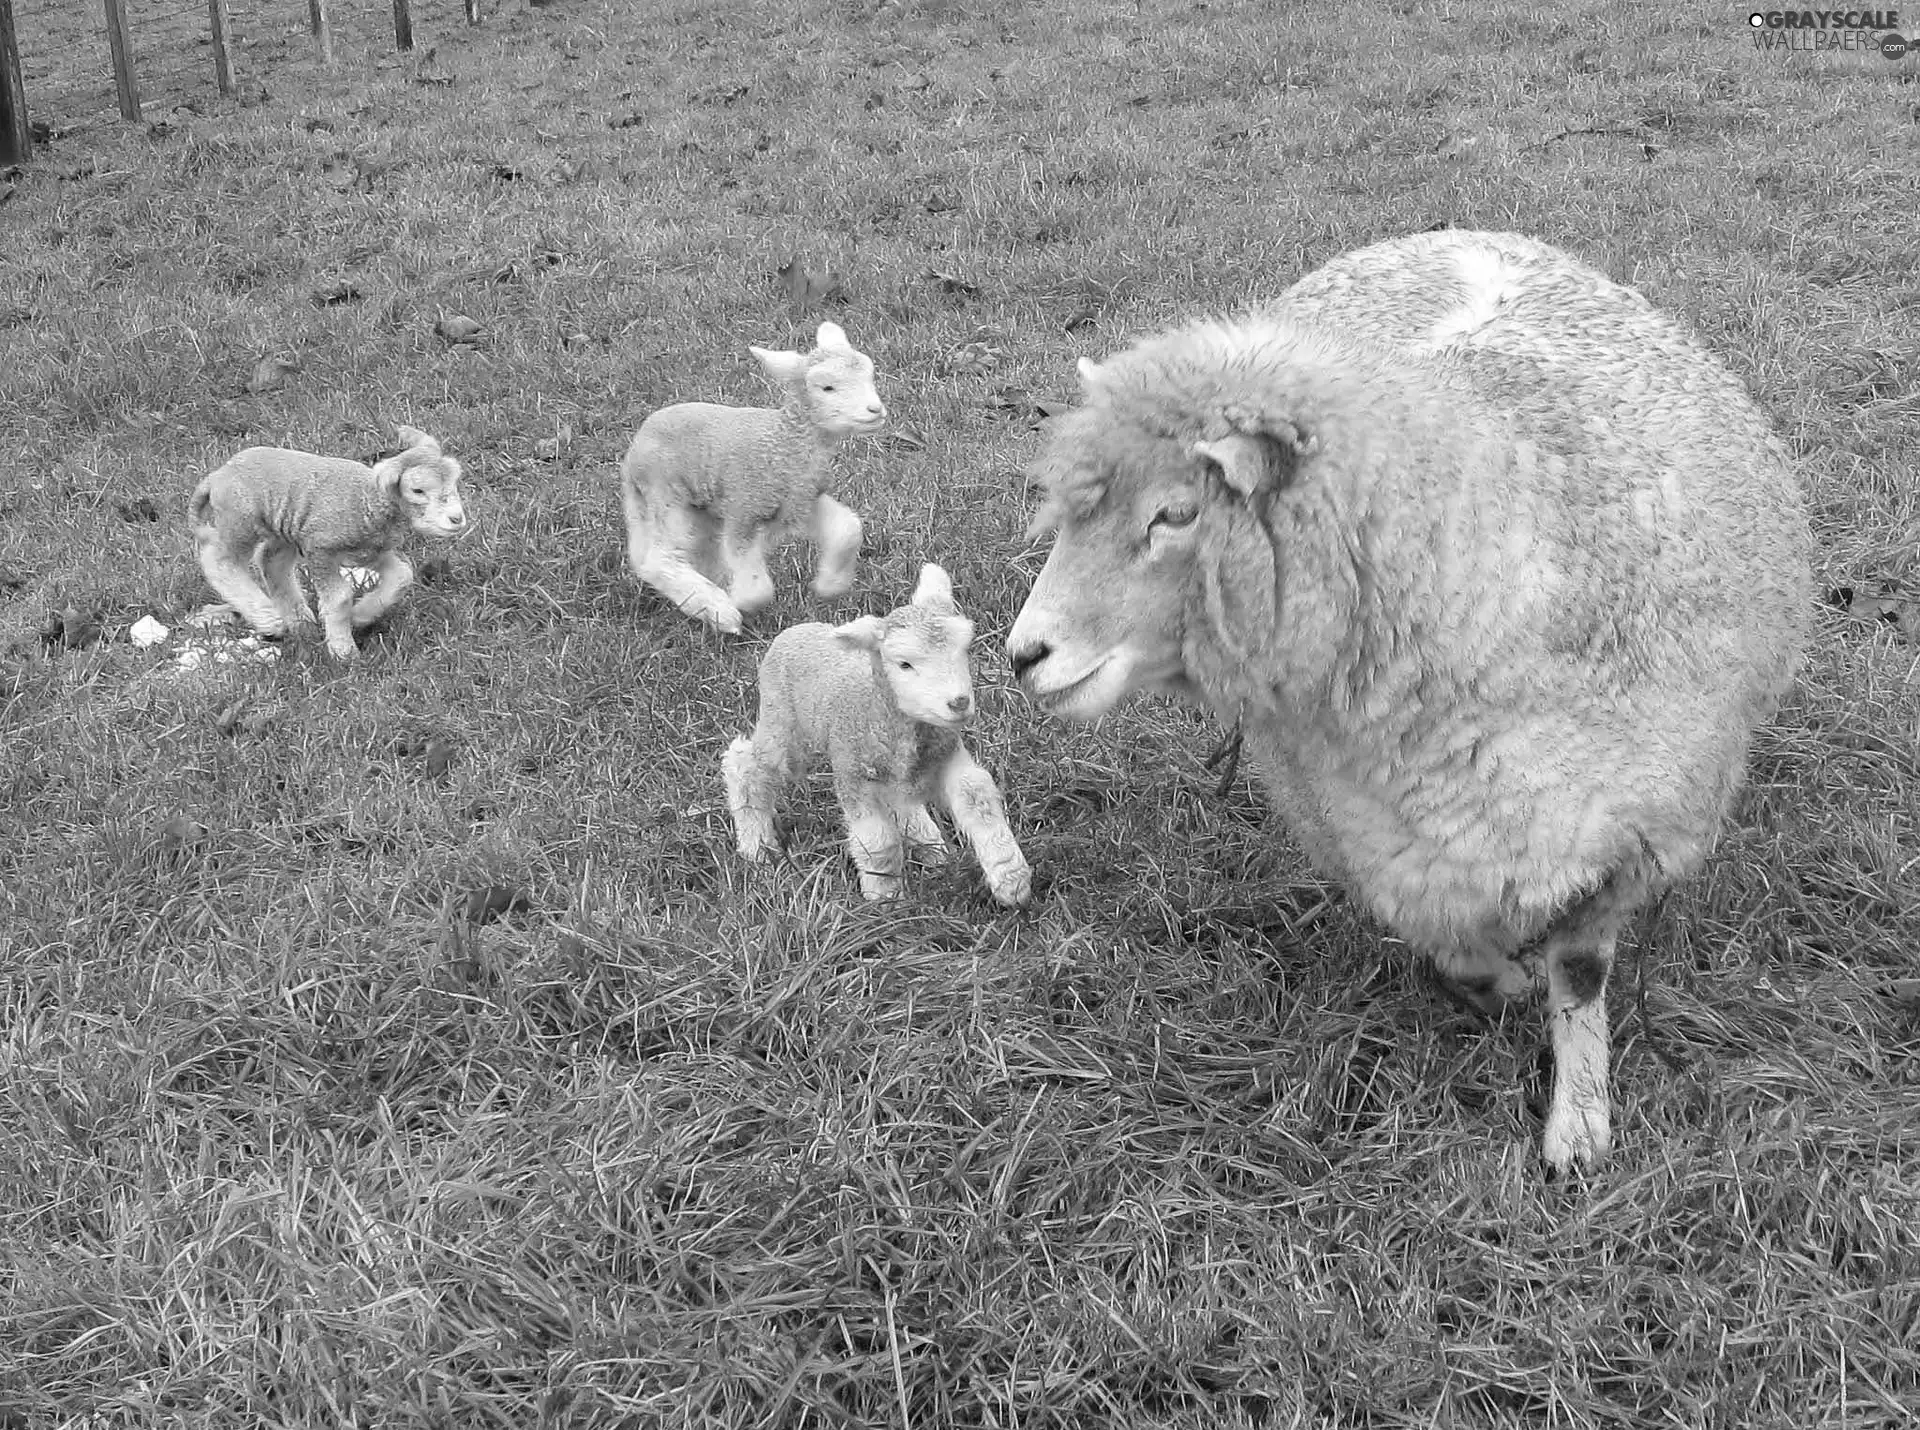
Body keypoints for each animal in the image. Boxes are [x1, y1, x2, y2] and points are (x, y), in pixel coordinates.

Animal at [189, 420, 466, 660]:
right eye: (418, 490)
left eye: (454, 481)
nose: (457, 518)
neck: (366, 501)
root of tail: (217, 475)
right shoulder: (321, 550)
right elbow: (340, 597)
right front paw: (344, 651)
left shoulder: (371, 551)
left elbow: (402, 576)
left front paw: (360, 615)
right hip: (241, 520)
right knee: (219, 559)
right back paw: (268, 618)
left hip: (283, 527)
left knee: (271, 561)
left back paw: (299, 620)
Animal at [622, 326, 883, 637]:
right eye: (827, 388)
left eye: (869, 374)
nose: (875, 410)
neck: (783, 443)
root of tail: (633, 452)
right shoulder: (744, 508)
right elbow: (757, 588)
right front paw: (740, 603)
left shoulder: (800, 501)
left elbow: (847, 530)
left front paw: (830, 585)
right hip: (666, 494)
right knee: (660, 559)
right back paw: (717, 611)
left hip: (698, 507)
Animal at [718, 560, 1029, 902]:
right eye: (904, 664)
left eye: (963, 650)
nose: (959, 702)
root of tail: (795, 631)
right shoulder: (854, 778)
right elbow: (878, 841)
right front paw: (884, 897)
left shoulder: (949, 757)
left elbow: (978, 801)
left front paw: (1011, 880)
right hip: (784, 726)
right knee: (745, 764)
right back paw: (756, 847)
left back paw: (931, 846)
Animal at [1006, 228, 1812, 1174]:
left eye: (1174, 515)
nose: (1022, 655)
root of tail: (1462, 231)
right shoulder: (1384, 845)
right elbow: (1458, 951)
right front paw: (1506, 984)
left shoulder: (1621, 832)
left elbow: (1580, 975)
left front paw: (1578, 1124)